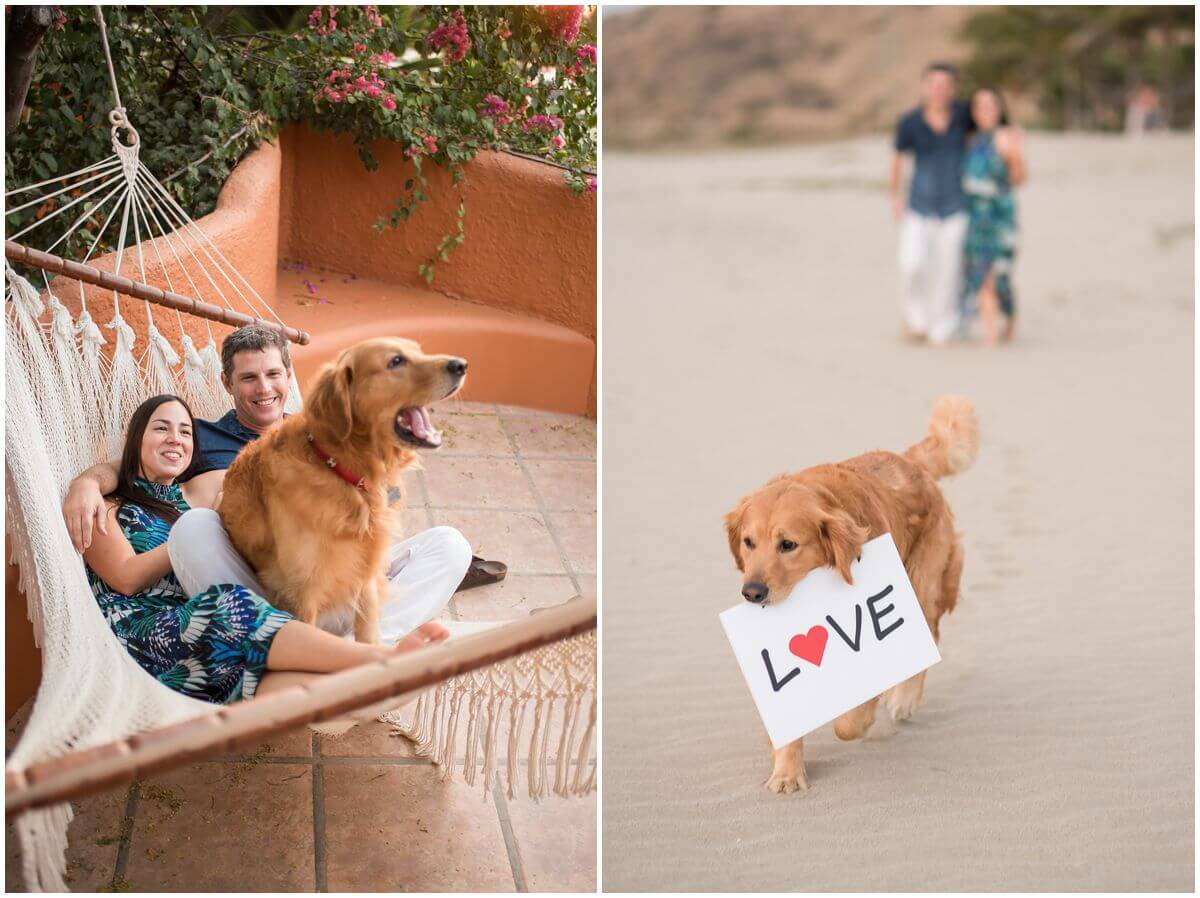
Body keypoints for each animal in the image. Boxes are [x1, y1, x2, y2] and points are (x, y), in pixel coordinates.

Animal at [220, 338, 463, 643]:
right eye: (396, 361)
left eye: (419, 351)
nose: (461, 365)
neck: (342, 471)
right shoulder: (300, 592)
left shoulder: (365, 578)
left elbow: (368, 637)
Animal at [720, 393, 974, 792]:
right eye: (748, 542)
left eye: (787, 545)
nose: (752, 592)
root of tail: (910, 461)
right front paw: (787, 772)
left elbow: (848, 723)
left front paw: (861, 719)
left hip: (920, 580)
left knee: (929, 633)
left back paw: (903, 699)